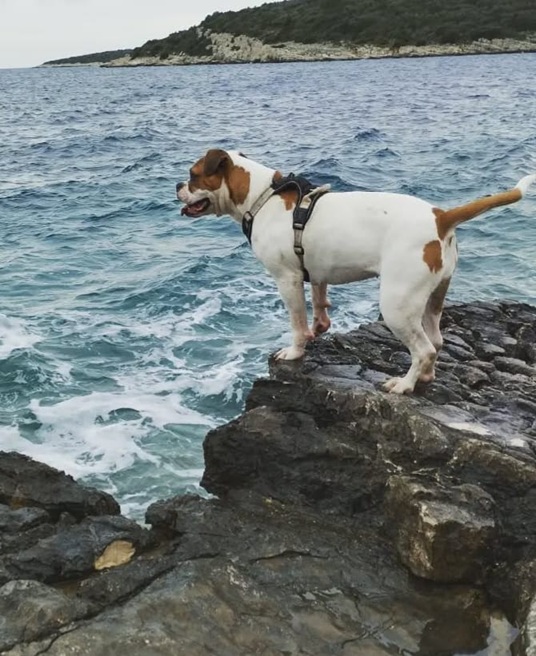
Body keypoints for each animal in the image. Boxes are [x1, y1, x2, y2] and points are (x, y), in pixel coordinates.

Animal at [177, 149, 535, 394]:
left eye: (193, 174)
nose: (178, 184)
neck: (262, 197)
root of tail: (441, 217)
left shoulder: (287, 279)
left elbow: (297, 323)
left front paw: (295, 351)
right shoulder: (315, 272)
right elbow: (319, 304)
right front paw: (319, 328)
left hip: (397, 305)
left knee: (423, 349)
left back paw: (404, 385)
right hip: (433, 297)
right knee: (436, 342)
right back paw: (424, 377)